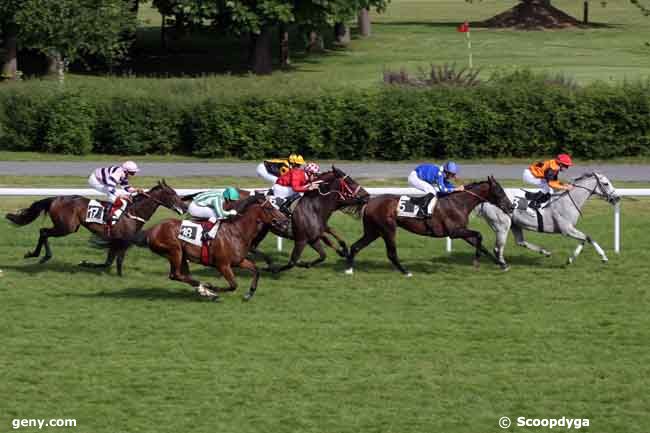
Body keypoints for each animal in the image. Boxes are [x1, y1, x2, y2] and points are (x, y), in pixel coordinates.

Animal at [6, 180, 185, 276]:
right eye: (172, 194)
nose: (184, 207)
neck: (133, 212)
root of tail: (55, 198)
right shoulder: (121, 241)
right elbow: (114, 261)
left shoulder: (118, 241)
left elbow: (110, 261)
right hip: (66, 227)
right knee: (43, 232)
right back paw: (41, 256)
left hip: (67, 227)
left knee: (43, 232)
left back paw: (37, 255)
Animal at [130, 195, 288, 300]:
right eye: (269, 208)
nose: (285, 220)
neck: (237, 231)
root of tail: (151, 230)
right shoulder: (222, 265)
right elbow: (233, 285)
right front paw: (213, 288)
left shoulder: (239, 261)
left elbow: (256, 270)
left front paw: (249, 293)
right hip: (174, 251)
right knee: (175, 275)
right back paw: (207, 289)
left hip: (182, 255)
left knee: (183, 275)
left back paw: (203, 290)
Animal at [342, 176, 512, 276]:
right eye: (499, 190)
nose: (511, 207)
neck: (458, 203)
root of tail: (370, 201)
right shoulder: (454, 232)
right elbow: (479, 235)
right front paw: (477, 262)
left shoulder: (461, 232)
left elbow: (481, 245)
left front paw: (502, 264)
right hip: (388, 229)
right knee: (391, 253)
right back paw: (406, 272)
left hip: (374, 231)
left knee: (356, 246)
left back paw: (349, 269)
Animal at [476, 172, 616, 266]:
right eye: (606, 183)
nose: (616, 198)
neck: (568, 200)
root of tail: (484, 201)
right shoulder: (566, 230)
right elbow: (588, 237)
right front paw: (603, 257)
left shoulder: (570, 229)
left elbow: (584, 239)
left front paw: (570, 259)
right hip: (502, 226)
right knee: (498, 247)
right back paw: (502, 263)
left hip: (514, 224)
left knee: (520, 242)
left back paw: (545, 252)